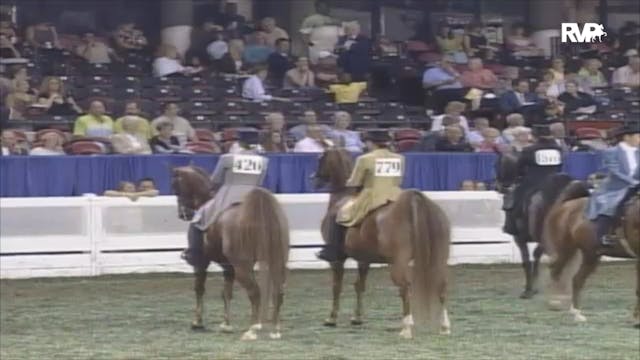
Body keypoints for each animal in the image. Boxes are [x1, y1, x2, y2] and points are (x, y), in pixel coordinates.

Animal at [170, 166, 290, 340]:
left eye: (175, 187)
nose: (183, 214)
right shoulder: (228, 267)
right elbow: (226, 292)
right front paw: (226, 324)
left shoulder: (201, 263)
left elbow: (199, 288)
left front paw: (197, 322)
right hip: (276, 261)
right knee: (278, 291)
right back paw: (275, 330)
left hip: (243, 267)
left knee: (255, 292)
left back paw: (253, 329)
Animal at [314, 148, 452, 338]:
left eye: (321, 158)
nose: (314, 178)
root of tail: (412, 204)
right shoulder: (363, 259)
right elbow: (360, 285)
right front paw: (357, 318)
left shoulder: (337, 260)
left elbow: (337, 286)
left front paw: (331, 319)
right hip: (437, 259)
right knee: (441, 286)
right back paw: (444, 327)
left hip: (398, 264)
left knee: (405, 288)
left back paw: (406, 328)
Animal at [544, 180, 636, 326]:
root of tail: (565, 205)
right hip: (567, 249)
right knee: (556, 270)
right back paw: (556, 302)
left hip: (591, 254)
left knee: (577, 279)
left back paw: (576, 313)